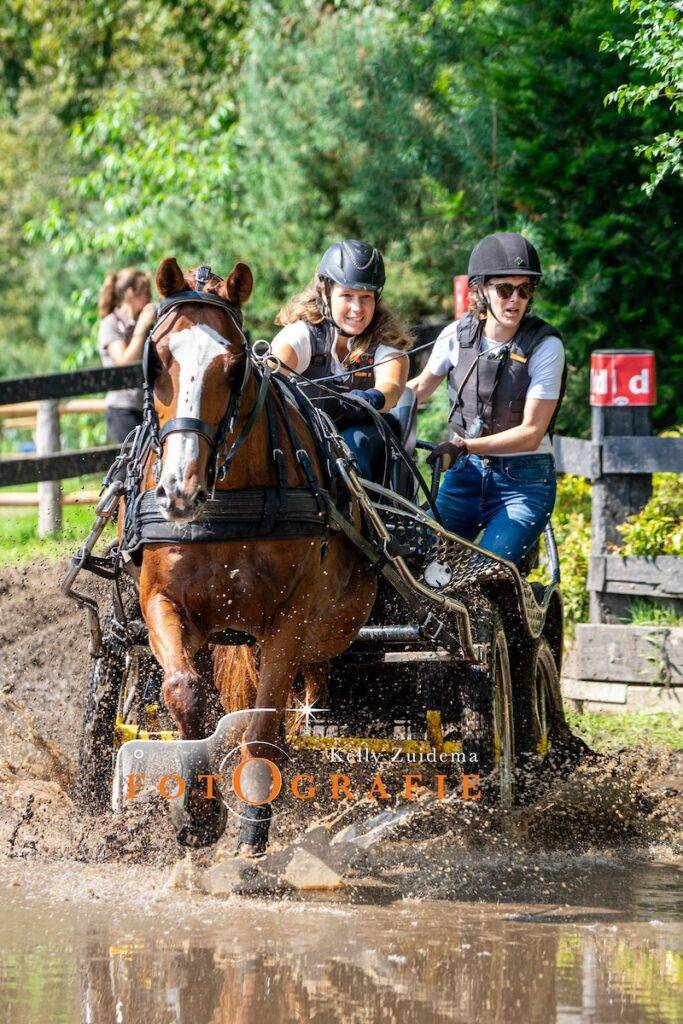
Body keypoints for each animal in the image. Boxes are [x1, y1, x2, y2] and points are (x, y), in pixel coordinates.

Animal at [131, 257, 376, 852]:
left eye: (233, 365)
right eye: (157, 361)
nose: (178, 489)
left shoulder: (289, 619)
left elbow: (263, 729)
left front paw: (250, 829)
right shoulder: (161, 601)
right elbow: (184, 692)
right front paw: (198, 813)